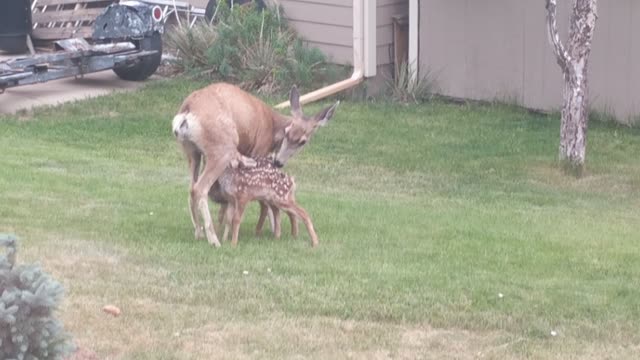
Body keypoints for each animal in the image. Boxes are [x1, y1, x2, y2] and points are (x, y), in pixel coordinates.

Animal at [170, 82, 340, 246]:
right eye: (287, 132)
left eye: (302, 142)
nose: (278, 162)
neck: (273, 128)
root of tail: (186, 111)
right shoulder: (259, 150)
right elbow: (264, 198)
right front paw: (271, 229)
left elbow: (228, 204)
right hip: (222, 148)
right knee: (200, 188)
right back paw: (213, 240)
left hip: (192, 152)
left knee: (191, 188)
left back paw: (199, 233)